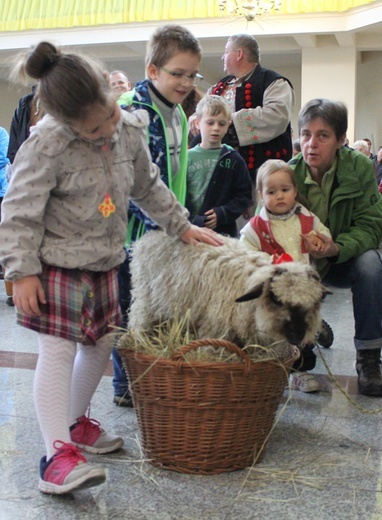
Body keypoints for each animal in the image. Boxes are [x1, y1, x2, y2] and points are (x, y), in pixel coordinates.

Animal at [128, 232, 328, 350]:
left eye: (314, 303)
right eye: (275, 299)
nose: (298, 334)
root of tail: (149, 236)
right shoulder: (214, 329)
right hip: (146, 299)